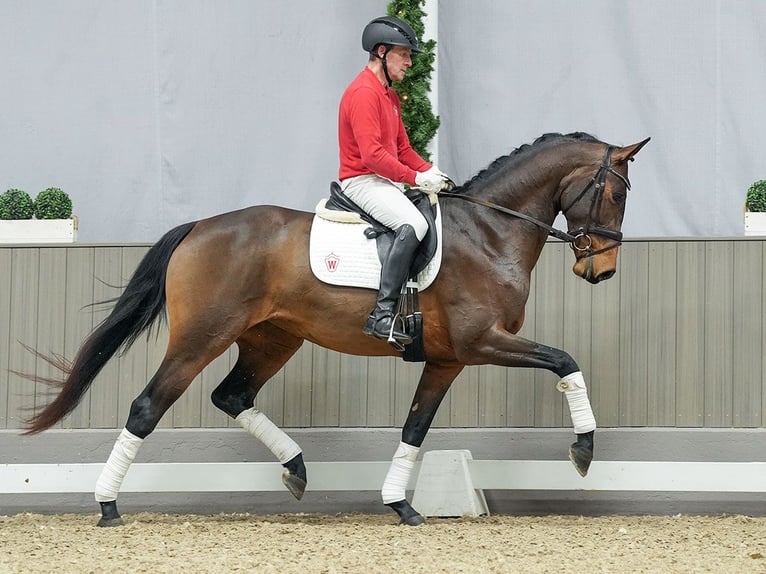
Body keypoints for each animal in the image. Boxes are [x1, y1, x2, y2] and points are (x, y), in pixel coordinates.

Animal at [24, 130, 648, 528]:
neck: (488, 232)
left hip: (274, 338)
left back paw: (297, 469)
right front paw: (584, 450)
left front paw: (400, 504)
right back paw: (107, 507)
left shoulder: (448, 359)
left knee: (232, 395)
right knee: (147, 406)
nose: (602, 270)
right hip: (201, 337)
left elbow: (415, 428)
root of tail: (200, 226)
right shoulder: (482, 342)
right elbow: (566, 361)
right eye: (616, 193)